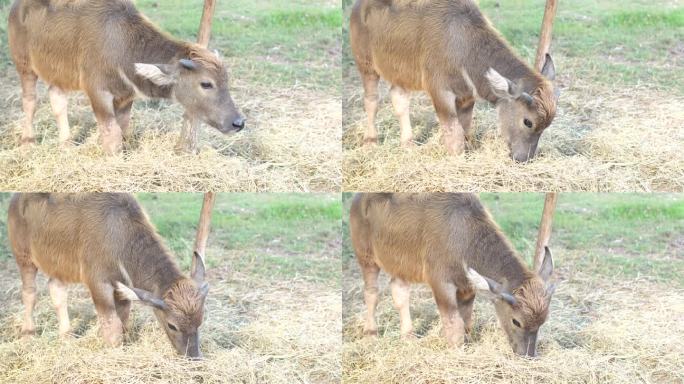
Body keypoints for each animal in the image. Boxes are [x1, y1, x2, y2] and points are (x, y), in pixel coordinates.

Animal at [7, 194, 208, 358]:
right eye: (172, 325)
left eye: (200, 322)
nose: (193, 356)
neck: (119, 237)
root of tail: (16, 200)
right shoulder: (98, 283)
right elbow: (113, 327)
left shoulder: (122, 287)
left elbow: (123, 321)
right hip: (24, 257)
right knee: (29, 293)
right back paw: (28, 334)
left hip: (58, 266)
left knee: (56, 290)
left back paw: (66, 336)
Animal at [352, 194, 556, 358]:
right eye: (516, 321)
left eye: (543, 322)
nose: (527, 354)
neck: (465, 238)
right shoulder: (441, 283)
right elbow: (454, 324)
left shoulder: (467, 287)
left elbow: (465, 321)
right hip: (366, 257)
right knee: (371, 292)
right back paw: (370, 333)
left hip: (400, 265)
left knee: (399, 291)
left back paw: (408, 336)